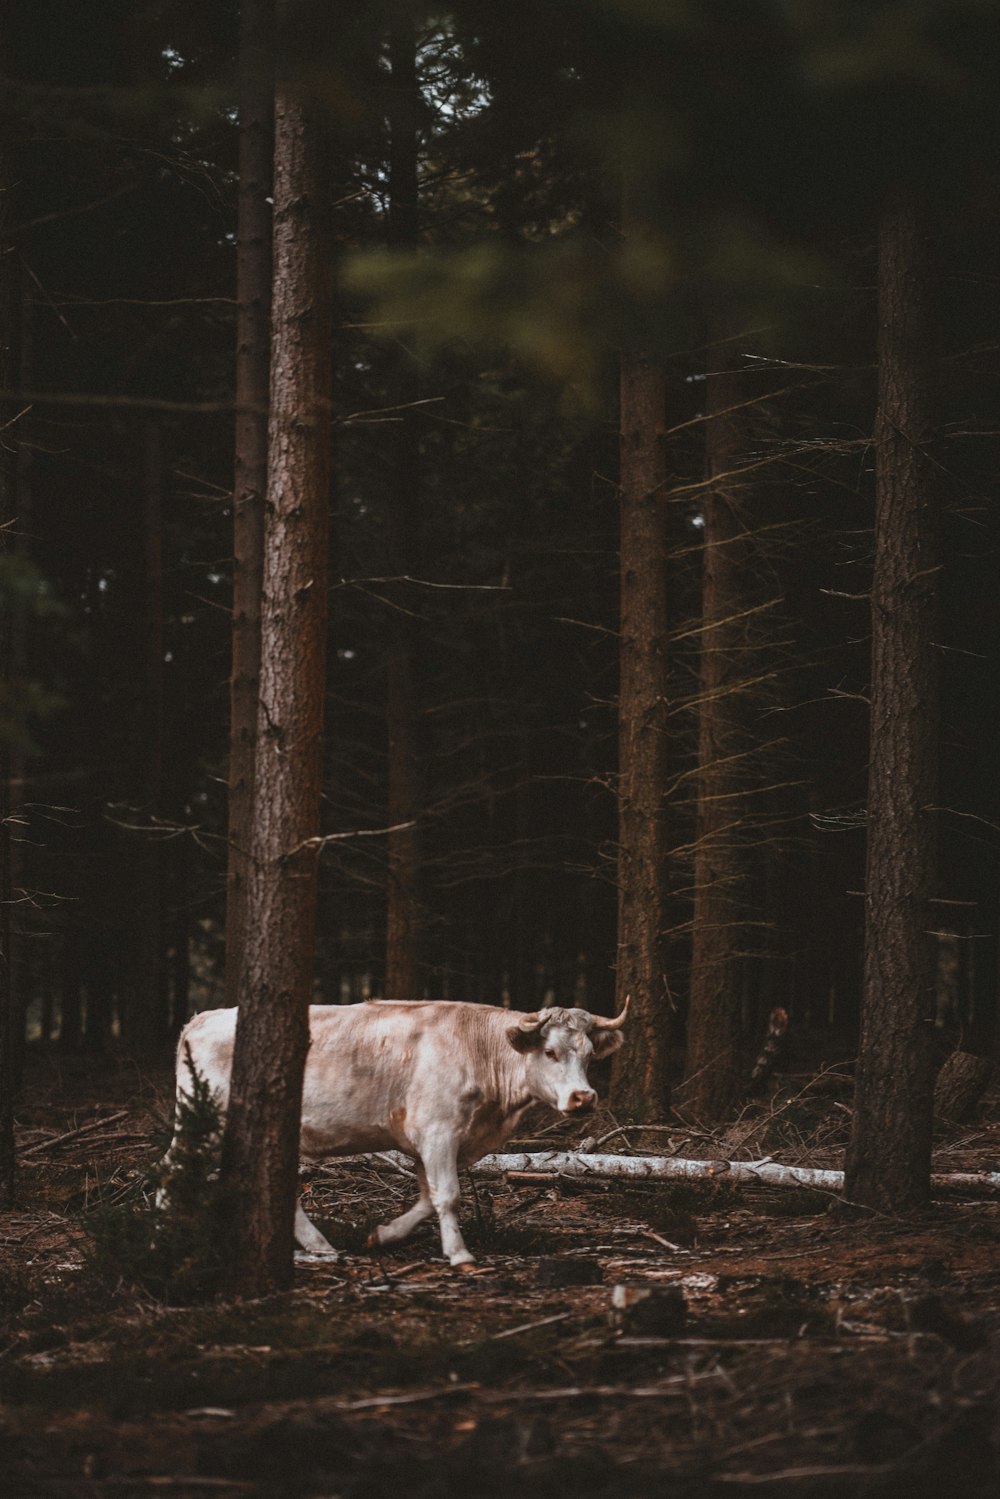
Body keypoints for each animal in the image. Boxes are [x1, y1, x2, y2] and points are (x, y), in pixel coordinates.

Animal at [167, 1001, 629, 1271]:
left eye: (590, 1054)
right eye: (549, 1052)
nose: (583, 1097)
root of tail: (202, 1018)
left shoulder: (430, 1140)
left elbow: (427, 1198)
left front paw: (383, 1235)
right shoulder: (439, 1131)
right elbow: (448, 1196)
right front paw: (460, 1255)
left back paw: (319, 1245)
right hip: (201, 1118)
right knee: (173, 1165)